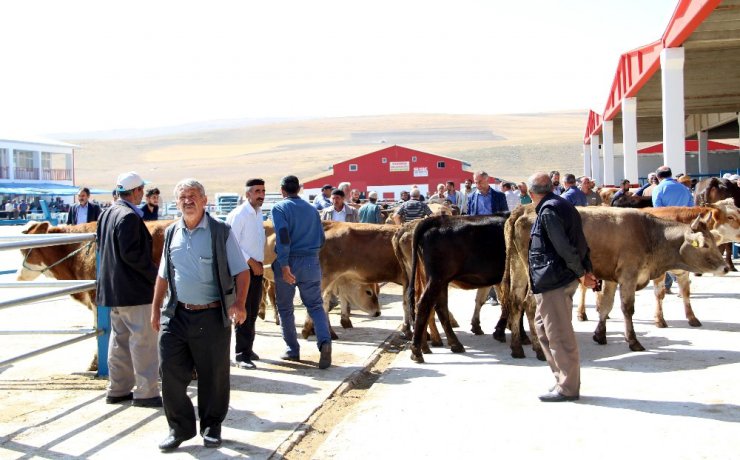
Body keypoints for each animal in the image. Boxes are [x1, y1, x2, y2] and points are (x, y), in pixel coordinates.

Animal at [408, 216, 512, 362]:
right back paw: (417, 351)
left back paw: (450, 344)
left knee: (439, 307)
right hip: (436, 278)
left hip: (437, 280)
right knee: (424, 305)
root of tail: (436, 220)